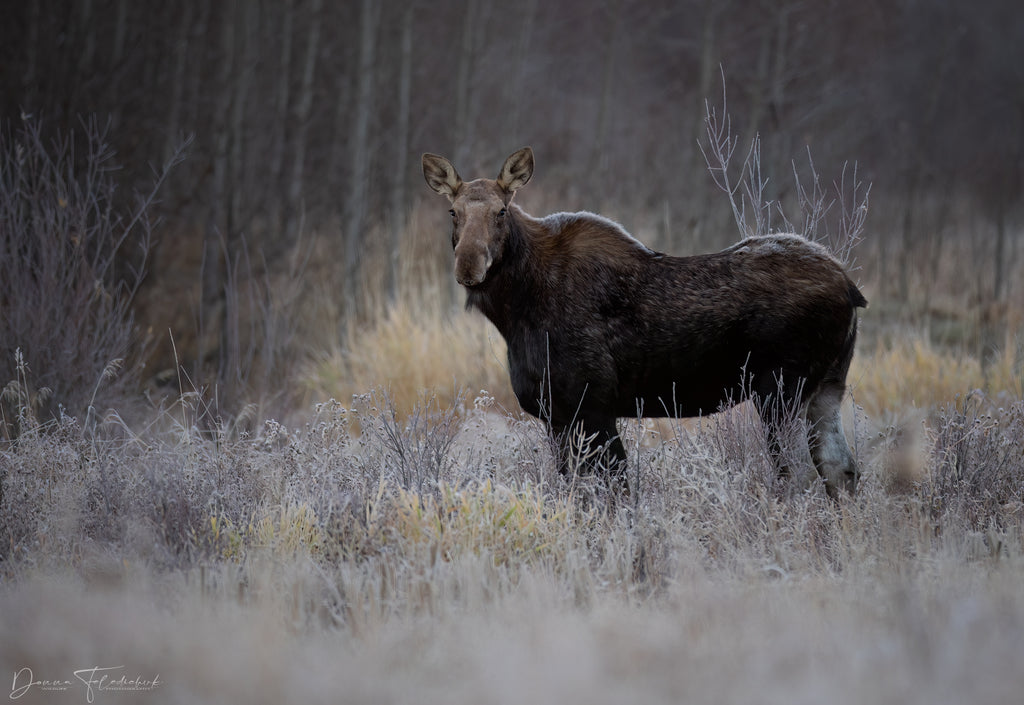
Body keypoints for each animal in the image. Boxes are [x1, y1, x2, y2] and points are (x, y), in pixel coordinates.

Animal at [421, 145, 864, 495]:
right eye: (453, 212)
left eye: (501, 211)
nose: (468, 265)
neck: (515, 311)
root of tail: (850, 287)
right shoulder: (557, 416)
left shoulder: (593, 407)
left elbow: (618, 489)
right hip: (827, 388)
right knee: (842, 472)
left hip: (781, 391)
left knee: (802, 477)